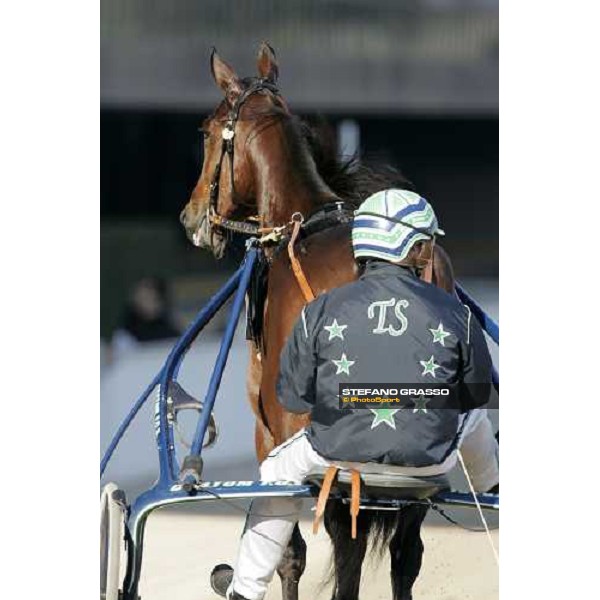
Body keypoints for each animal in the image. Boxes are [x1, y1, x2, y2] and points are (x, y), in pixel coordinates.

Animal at [178, 43, 454, 600]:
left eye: (206, 131)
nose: (191, 216)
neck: (300, 229)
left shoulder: (270, 432)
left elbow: (291, 552)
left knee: (347, 547)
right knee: (404, 553)